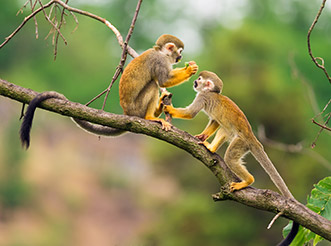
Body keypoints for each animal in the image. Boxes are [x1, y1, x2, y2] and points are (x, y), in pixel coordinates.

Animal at [19, 34, 198, 148]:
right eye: (179, 52)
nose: (180, 58)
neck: (161, 53)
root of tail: (127, 114)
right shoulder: (159, 61)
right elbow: (163, 80)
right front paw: (190, 70)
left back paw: (159, 107)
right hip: (137, 108)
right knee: (153, 84)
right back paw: (150, 117)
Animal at [165, 70, 300, 246]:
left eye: (199, 79)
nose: (195, 82)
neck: (211, 93)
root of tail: (252, 138)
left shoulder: (202, 97)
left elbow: (191, 113)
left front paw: (169, 108)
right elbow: (215, 121)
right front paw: (203, 136)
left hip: (241, 142)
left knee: (229, 152)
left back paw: (247, 180)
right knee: (224, 127)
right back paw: (211, 147)